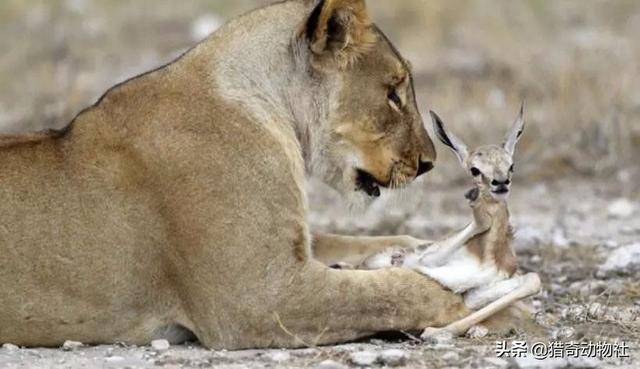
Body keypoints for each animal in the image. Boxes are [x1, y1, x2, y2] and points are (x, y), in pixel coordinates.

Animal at [360, 103, 540, 336]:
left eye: (511, 165)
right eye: (475, 169)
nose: (500, 183)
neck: (489, 256)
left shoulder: (476, 291)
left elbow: (532, 280)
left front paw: (438, 332)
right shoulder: (431, 262)